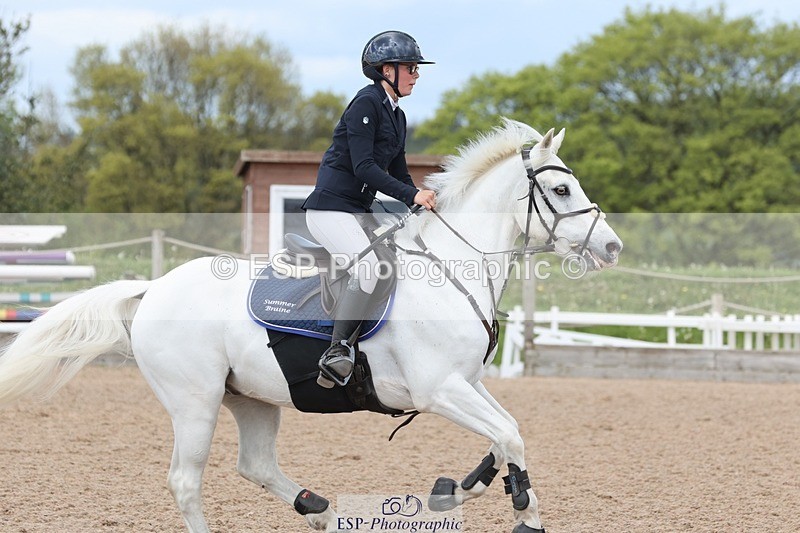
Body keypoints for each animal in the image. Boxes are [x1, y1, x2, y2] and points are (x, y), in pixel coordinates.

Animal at [0, 119, 622, 533]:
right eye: (561, 189)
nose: (612, 247)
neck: (450, 268)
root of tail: (153, 289)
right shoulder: (440, 389)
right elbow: (510, 435)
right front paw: (525, 515)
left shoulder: (466, 384)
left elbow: (505, 433)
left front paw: (453, 492)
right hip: (194, 401)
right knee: (186, 480)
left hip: (252, 397)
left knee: (254, 464)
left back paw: (317, 508)